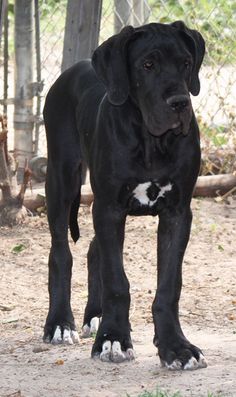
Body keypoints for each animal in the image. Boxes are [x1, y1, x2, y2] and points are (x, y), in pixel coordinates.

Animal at [43, 20, 206, 368]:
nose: (180, 102)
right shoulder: (110, 208)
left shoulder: (177, 213)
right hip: (61, 179)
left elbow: (169, 284)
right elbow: (117, 281)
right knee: (61, 253)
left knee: (94, 250)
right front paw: (114, 337)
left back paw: (94, 315)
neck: (151, 141)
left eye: (186, 63)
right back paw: (61, 323)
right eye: (147, 65)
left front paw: (175, 345)